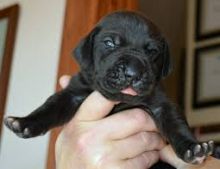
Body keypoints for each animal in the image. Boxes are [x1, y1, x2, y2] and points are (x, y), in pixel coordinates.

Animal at [3, 10, 213, 164]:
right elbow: (51, 107)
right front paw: (24, 122)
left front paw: (192, 148)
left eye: (152, 51)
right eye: (110, 43)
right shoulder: (73, 93)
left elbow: (176, 124)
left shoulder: (161, 104)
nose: (132, 72)